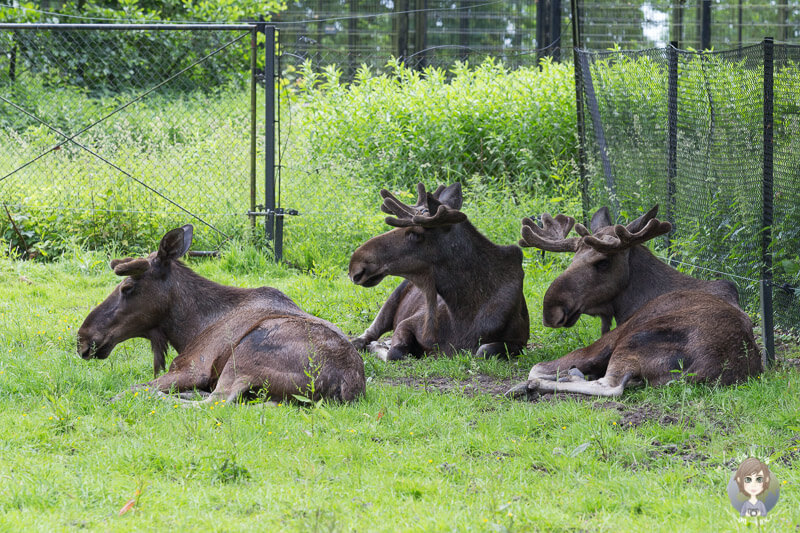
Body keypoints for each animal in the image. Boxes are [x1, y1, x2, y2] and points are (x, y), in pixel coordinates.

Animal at [78, 224, 366, 404]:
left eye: (127, 287)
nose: (83, 338)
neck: (189, 328)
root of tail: (348, 387)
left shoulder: (193, 368)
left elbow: (132, 388)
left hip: (245, 356)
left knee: (216, 402)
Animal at [350, 181, 532, 360]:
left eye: (415, 234)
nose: (354, 265)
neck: (462, 311)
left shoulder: (519, 342)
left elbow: (483, 350)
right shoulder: (407, 322)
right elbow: (394, 353)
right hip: (392, 299)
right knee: (365, 336)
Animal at [506, 206, 764, 396]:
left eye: (603, 262)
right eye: (573, 258)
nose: (551, 311)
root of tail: (702, 371)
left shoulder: (610, 339)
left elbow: (536, 367)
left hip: (632, 341)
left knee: (611, 387)